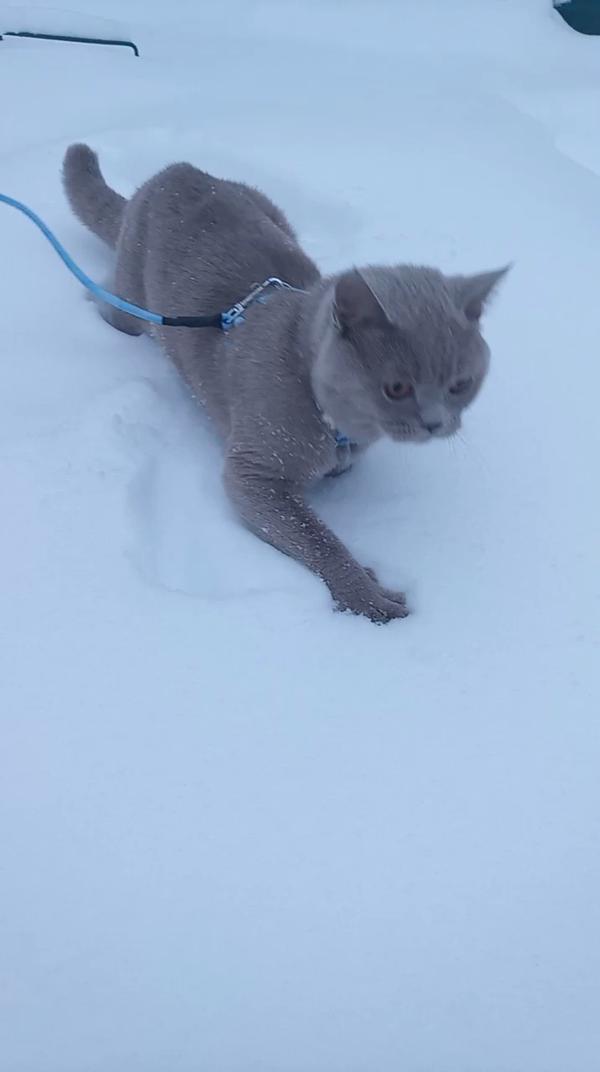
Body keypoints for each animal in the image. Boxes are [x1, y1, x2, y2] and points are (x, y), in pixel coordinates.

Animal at [64, 146, 505, 626]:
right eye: (397, 388)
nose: (435, 422)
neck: (334, 422)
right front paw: (368, 597)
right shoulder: (254, 474)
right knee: (112, 302)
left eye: (460, 384)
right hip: (135, 300)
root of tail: (175, 171)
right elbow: (316, 536)